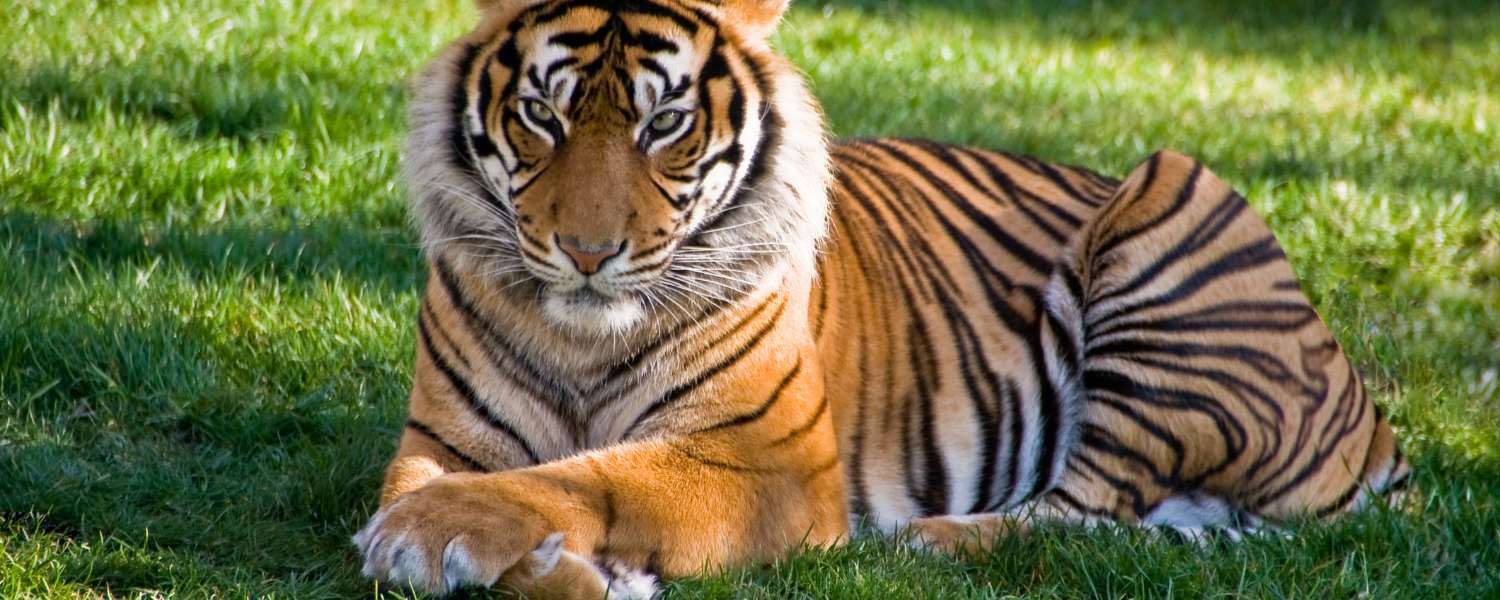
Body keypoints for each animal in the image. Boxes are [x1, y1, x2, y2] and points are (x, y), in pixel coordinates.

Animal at [348, 0, 1404, 594]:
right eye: (541, 114)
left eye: (666, 124)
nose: (587, 253)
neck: (583, 339)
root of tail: (1374, 421)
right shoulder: (441, 437)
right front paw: (552, 569)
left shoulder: (768, 462)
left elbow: (593, 476)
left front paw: (434, 537)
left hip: (1173, 196)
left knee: (1084, 509)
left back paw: (924, 542)